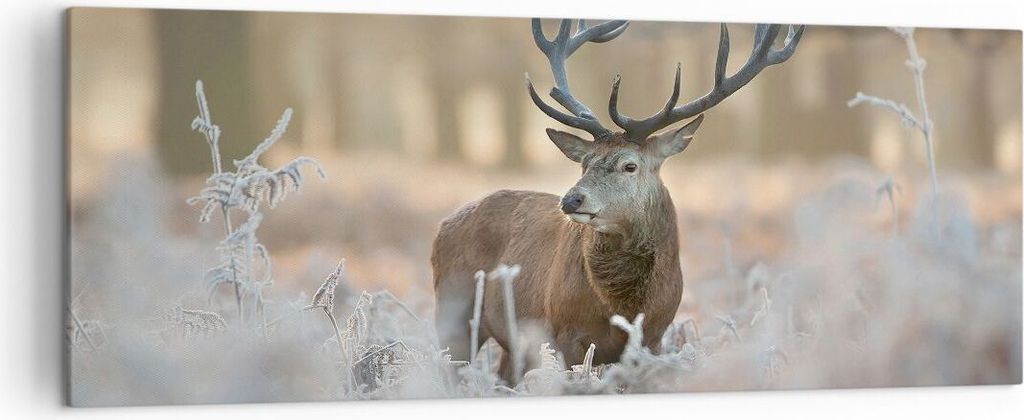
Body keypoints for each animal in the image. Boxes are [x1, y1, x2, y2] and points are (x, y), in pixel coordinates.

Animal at [432, 18, 803, 382]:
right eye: (584, 163)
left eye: (630, 165)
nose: (571, 200)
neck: (623, 305)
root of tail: (444, 224)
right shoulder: (563, 333)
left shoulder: (653, 338)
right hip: (452, 308)